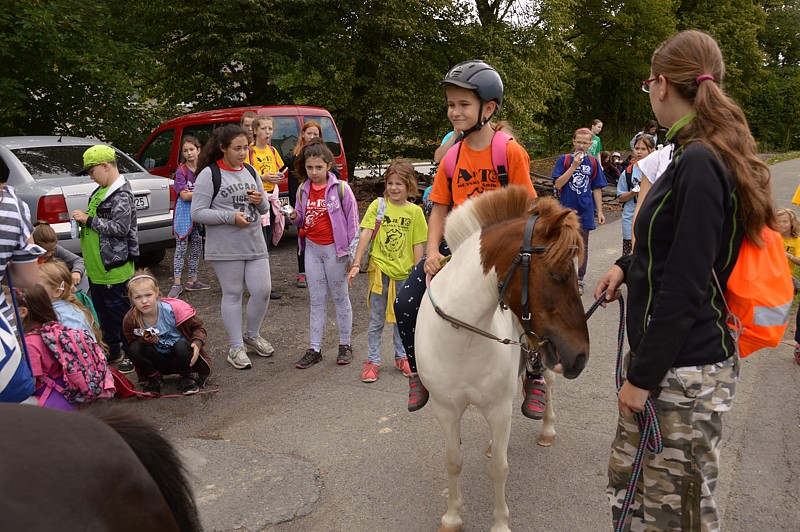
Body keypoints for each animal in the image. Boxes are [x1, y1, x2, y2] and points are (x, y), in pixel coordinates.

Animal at [416, 187, 592, 532]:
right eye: (557, 273)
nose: (581, 355)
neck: (464, 337)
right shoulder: (446, 409)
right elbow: (453, 461)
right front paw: (452, 517)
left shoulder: (498, 409)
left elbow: (499, 468)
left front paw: (499, 524)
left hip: (544, 353)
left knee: (549, 383)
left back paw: (547, 428)